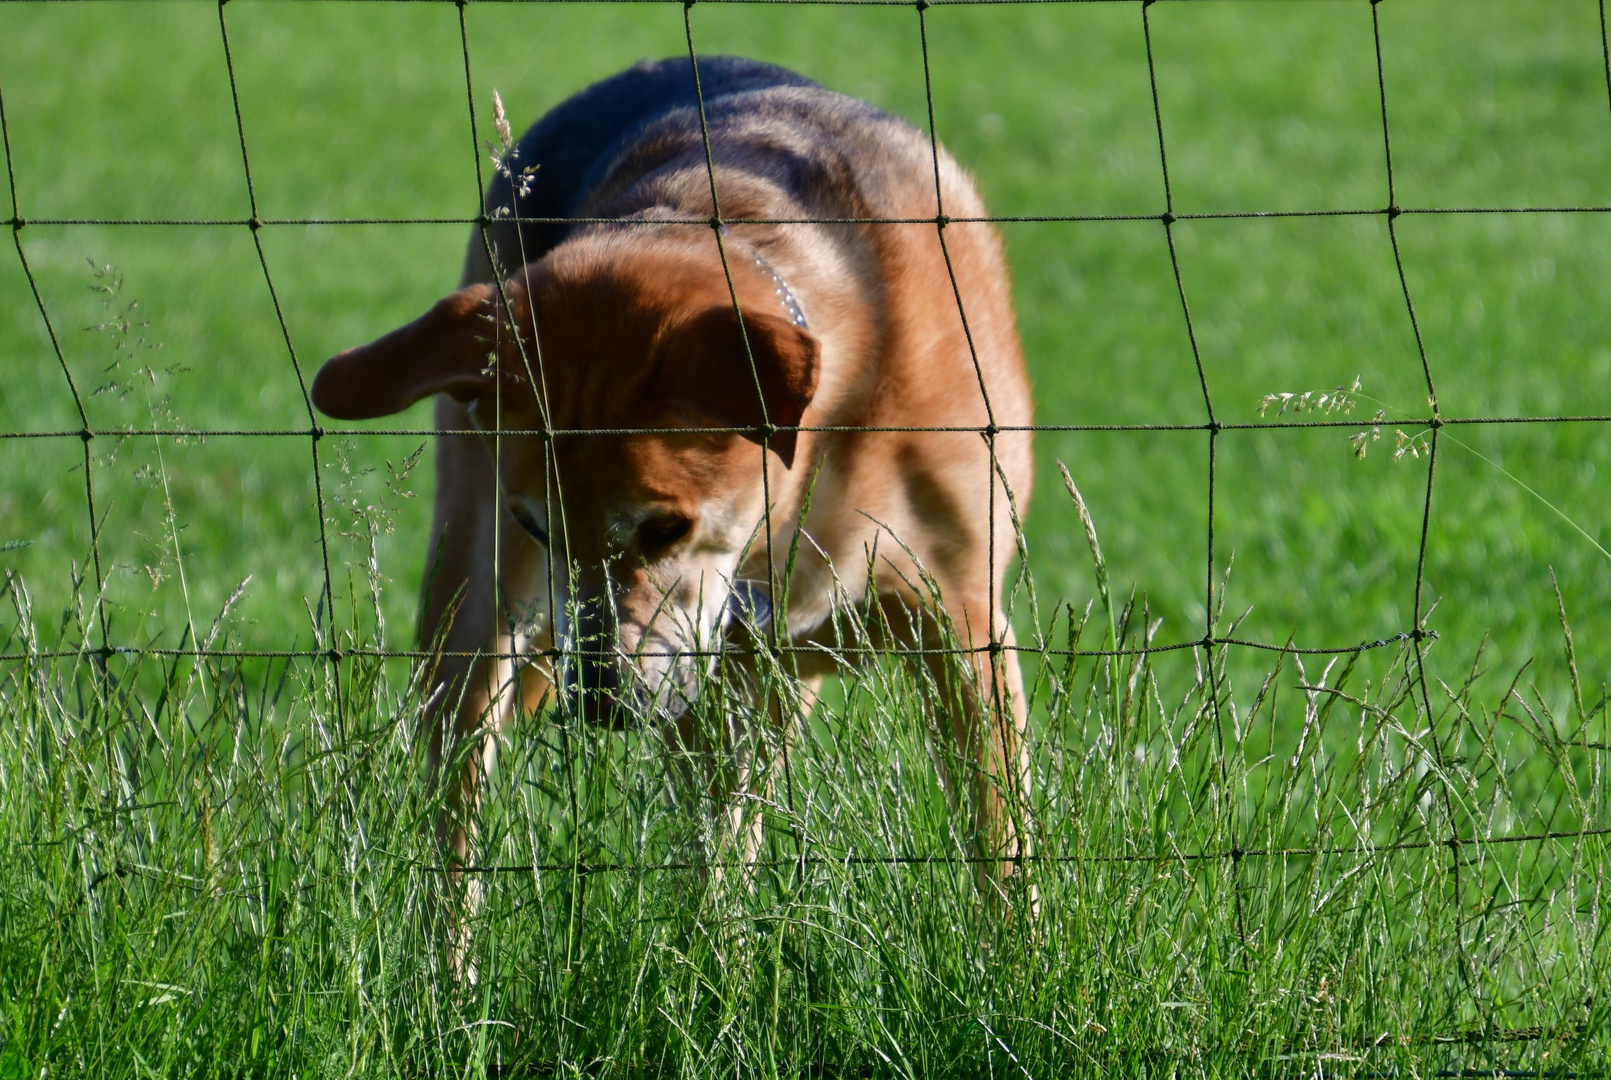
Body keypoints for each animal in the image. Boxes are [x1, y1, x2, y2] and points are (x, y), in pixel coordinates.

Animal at [307, 54, 1031, 889]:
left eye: (664, 528)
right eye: (539, 526)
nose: (597, 701)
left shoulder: (965, 633)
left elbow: (1000, 854)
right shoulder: (707, 690)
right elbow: (709, 877)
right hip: (476, 616)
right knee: (454, 814)